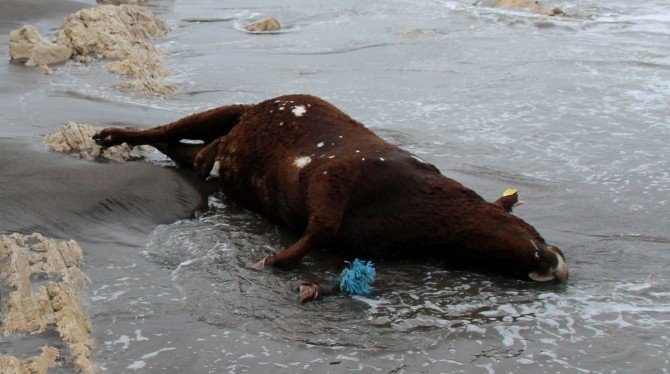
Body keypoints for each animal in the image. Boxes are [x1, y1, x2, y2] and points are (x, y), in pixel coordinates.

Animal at [93, 95, 568, 284]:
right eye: (531, 227)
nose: (559, 262)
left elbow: (323, 230)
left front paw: (276, 259)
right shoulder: (333, 175)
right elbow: (320, 226)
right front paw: (272, 260)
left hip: (215, 146)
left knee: (187, 153)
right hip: (228, 111)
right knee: (163, 131)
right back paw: (110, 135)